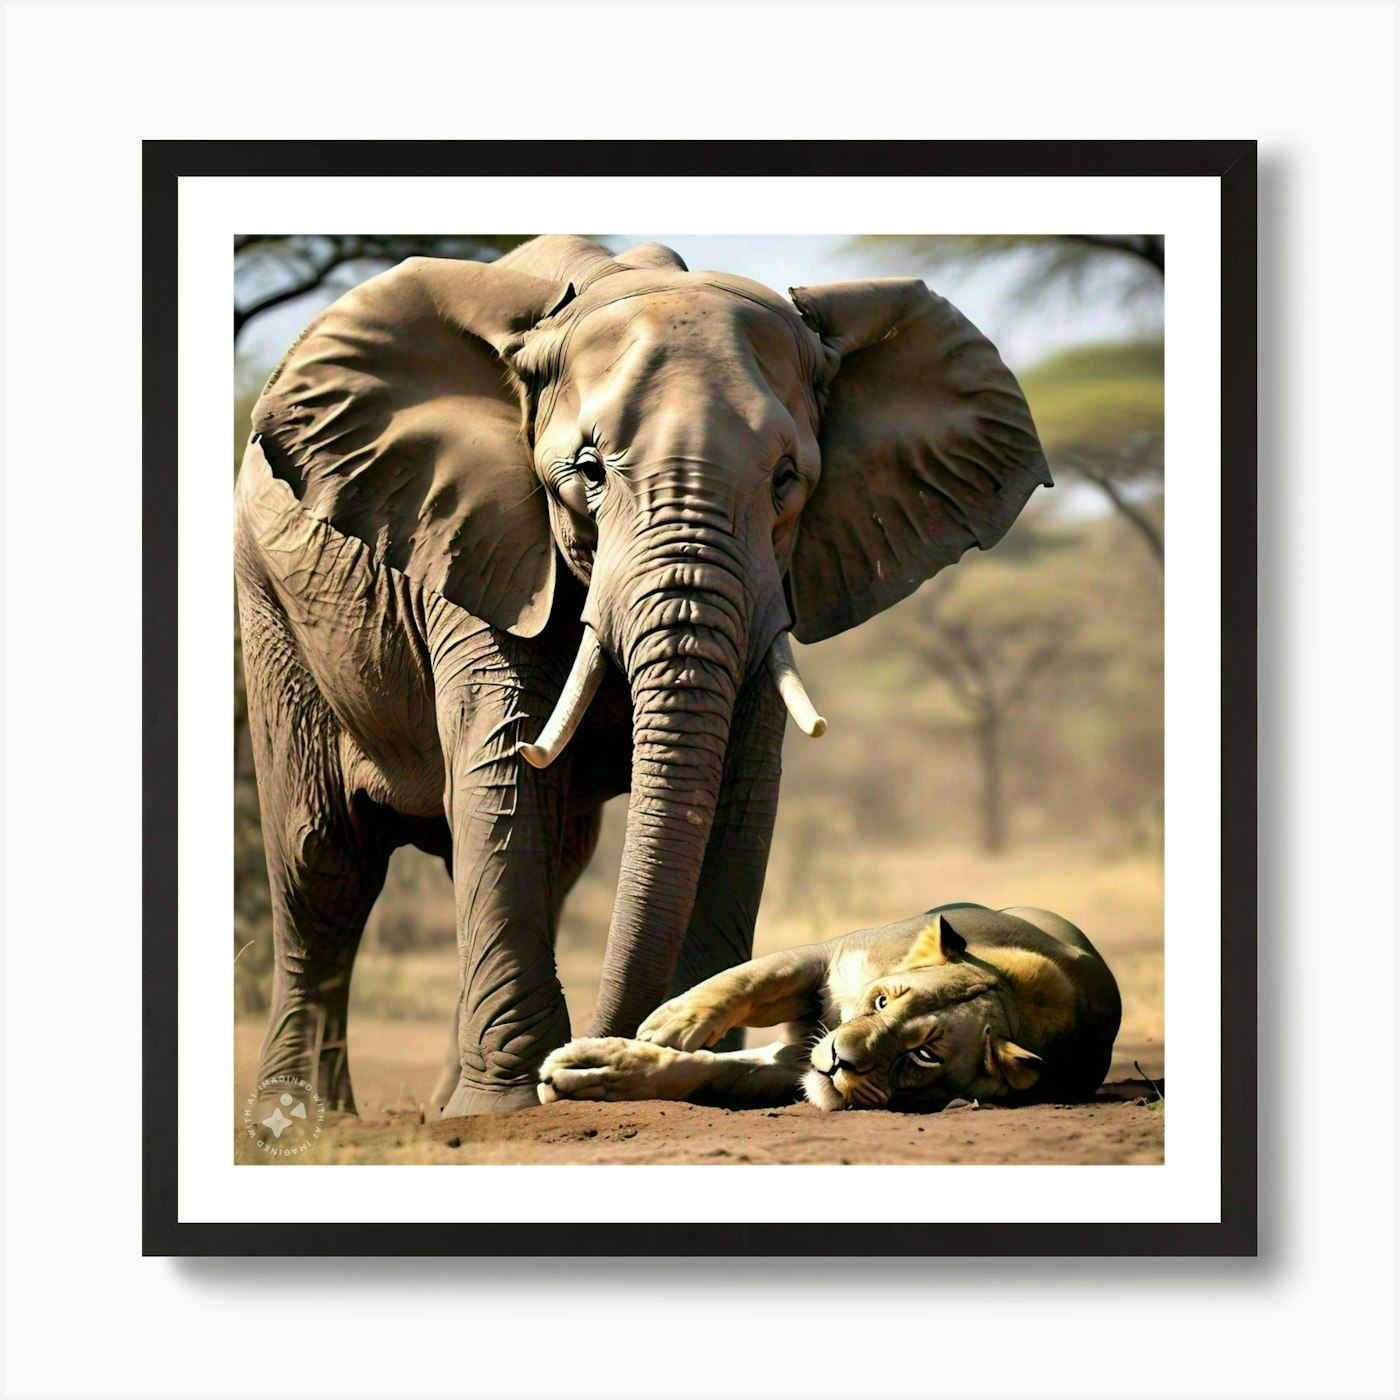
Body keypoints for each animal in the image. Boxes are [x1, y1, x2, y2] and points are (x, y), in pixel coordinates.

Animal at [234, 235, 1050, 1117]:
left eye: (786, 480)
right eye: (587, 471)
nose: (580, 1062)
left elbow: (736, 790)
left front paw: (674, 1058)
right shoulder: (477, 542)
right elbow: (503, 776)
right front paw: (513, 1106)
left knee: (542, 863)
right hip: (271, 612)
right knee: (324, 867)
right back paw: (300, 1124)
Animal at [538, 904, 1122, 1112]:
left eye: (923, 1056)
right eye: (882, 1000)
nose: (839, 1058)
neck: (1012, 991)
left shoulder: (794, 1068)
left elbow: (711, 1072)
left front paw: (596, 1073)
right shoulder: (834, 953)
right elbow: (749, 978)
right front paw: (668, 1024)